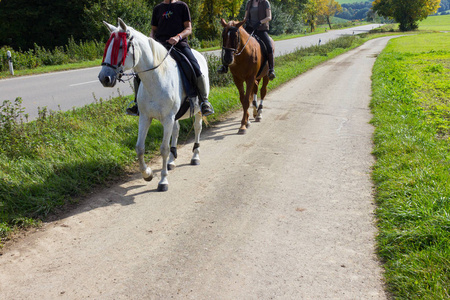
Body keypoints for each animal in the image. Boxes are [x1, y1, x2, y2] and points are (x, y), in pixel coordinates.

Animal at [98, 18, 207, 191]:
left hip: (197, 110)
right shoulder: (145, 117)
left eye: (121, 47)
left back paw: (195, 156)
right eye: (107, 47)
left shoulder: (168, 118)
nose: (104, 78)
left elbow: (163, 149)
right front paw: (147, 174)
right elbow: (139, 148)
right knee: (176, 131)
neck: (156, 78)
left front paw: (163, 181)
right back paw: (171, 161)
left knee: (197, 128)